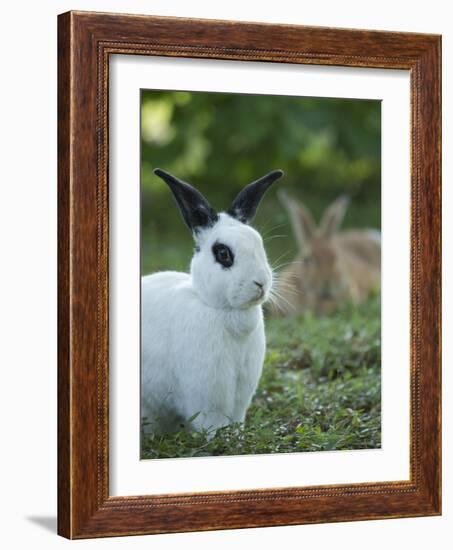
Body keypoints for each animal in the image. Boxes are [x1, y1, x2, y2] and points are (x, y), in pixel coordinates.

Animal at [141, 168, 282, 436]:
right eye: (223, 253)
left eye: (259, 244)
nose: (260, 282)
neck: (223, 311)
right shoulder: (208, 392)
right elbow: (212, 422)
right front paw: (221, 439)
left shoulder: (240, 393)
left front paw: (236, 435)